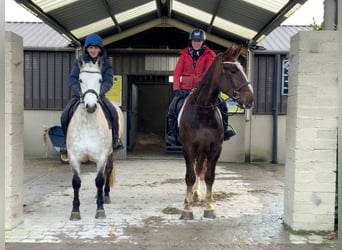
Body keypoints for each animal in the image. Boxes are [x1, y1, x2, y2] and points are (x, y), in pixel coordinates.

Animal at [179, 44, 254, 219]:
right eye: (233, 71)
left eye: (242, 68)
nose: (250, 98)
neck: (203, 112)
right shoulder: (188, 148)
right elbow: (190, 176)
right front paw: (187, 209)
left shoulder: (215, 148)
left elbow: (209, 177)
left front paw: (209, 207)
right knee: (195, 170)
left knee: (200, 170)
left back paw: (198, 194)